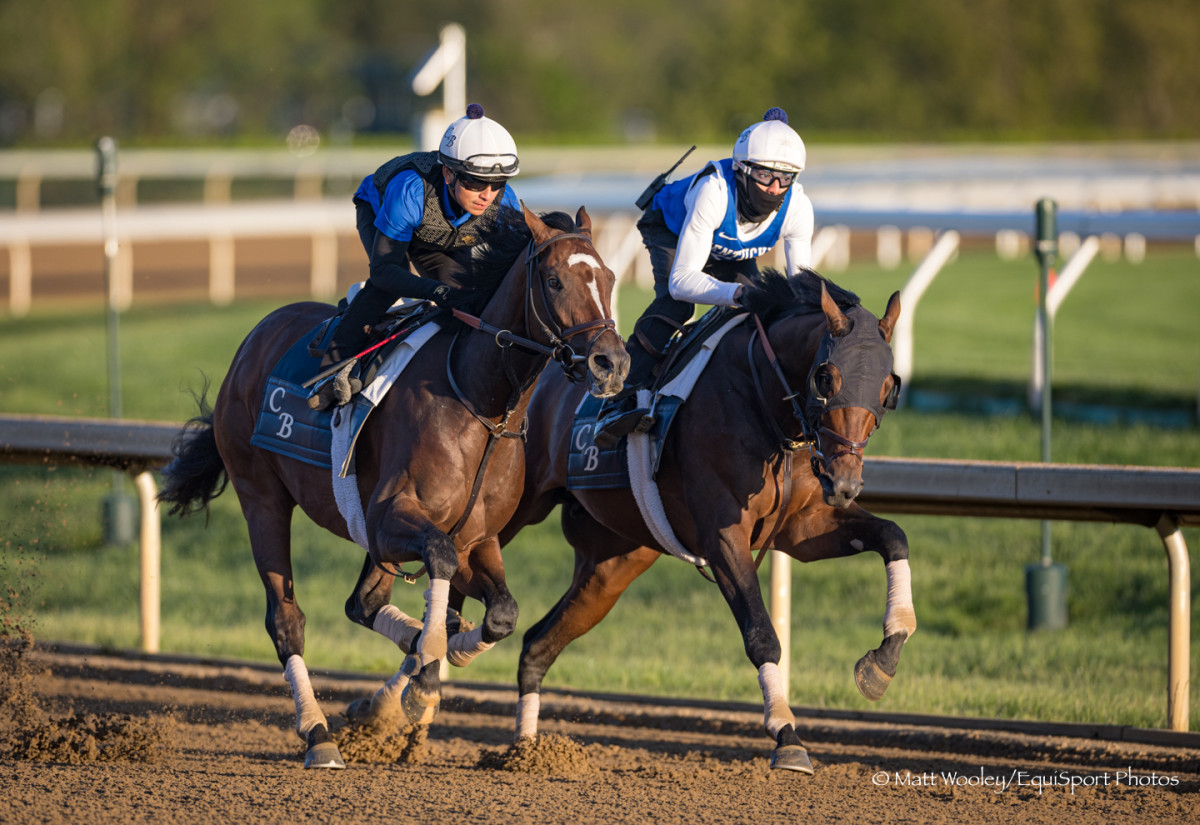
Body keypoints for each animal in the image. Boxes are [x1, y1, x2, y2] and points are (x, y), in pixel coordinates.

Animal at [160, 205, 633, 767]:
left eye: (609, 278)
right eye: (555, 280)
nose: (612, 363)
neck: (480, 404)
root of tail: (257, 335)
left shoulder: (477, 537)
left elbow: (502, 613)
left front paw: (437, 655)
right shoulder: (393, 518)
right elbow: (440, 563)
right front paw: (425, 681)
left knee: (362, 604)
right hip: (261, 497)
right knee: (286, 620)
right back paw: (319, 733)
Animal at [501, 268, 912, 772]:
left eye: (888, 387)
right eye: (826, 377)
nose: (845, 482)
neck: (764, 404)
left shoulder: (803, 528)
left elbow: (893, 537)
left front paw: (883, 659)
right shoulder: (722, 535)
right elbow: (761, 633)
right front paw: (786, 734)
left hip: (612, 563)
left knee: (537, 644)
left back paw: (525, 752)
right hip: (507, 511)